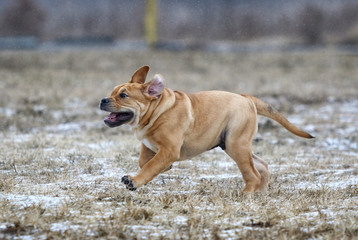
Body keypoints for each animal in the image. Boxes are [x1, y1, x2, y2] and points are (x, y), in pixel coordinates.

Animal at [98, 65, 314, 193]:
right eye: (112, 92)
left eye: (123, 95)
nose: (103, 100)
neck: (157, 110)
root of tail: (246, 98)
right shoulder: (149, 145)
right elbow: (145, 161)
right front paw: (165, 168)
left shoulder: (169, 149)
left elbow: (150, 166)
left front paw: (134, 181)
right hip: (233, 144)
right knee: (261, 165)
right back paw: (260, 192)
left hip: (236, 145)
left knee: (252, 173)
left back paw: (246, 195)